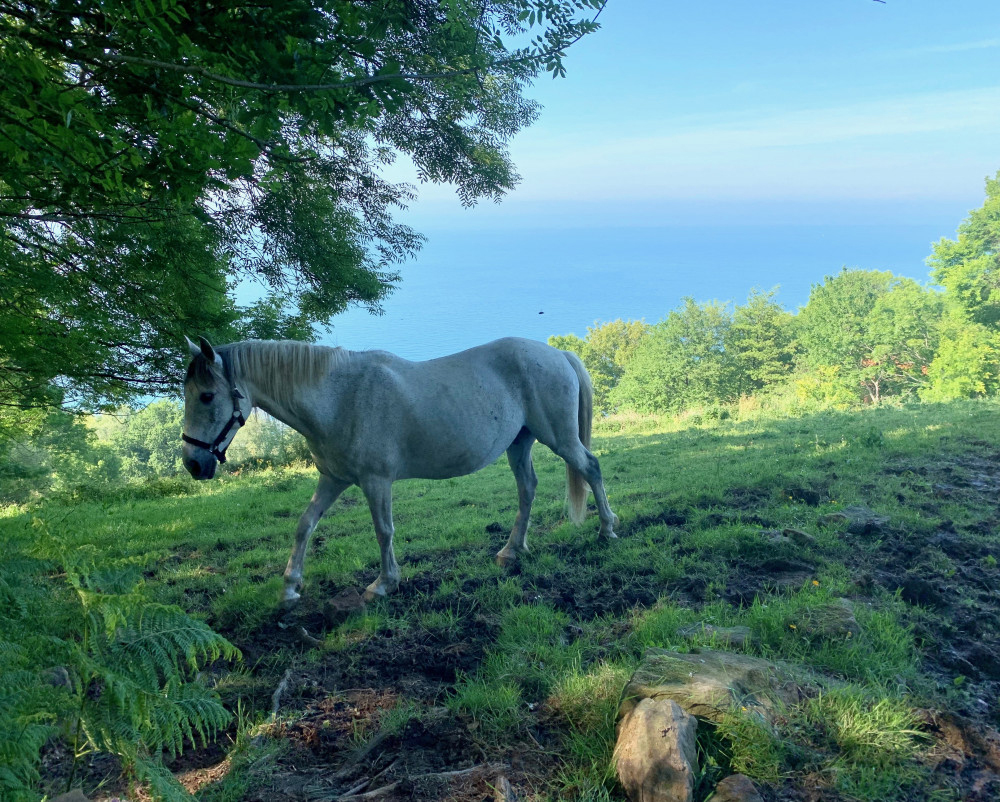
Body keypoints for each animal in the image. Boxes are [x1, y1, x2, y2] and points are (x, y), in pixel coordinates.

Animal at [182, 334, 616, 604]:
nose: (193, 463)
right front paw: (290, 588)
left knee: (591, 468)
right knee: (528, 488)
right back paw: (512, 550)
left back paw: (607, 529)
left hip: (559, 438)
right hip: (520, 444)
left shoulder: (376, 482)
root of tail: (558, 354)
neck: (339, 397)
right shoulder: (333, 479)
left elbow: (383, 530)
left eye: (207, 396)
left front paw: (384, 584)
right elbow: (305, 525)